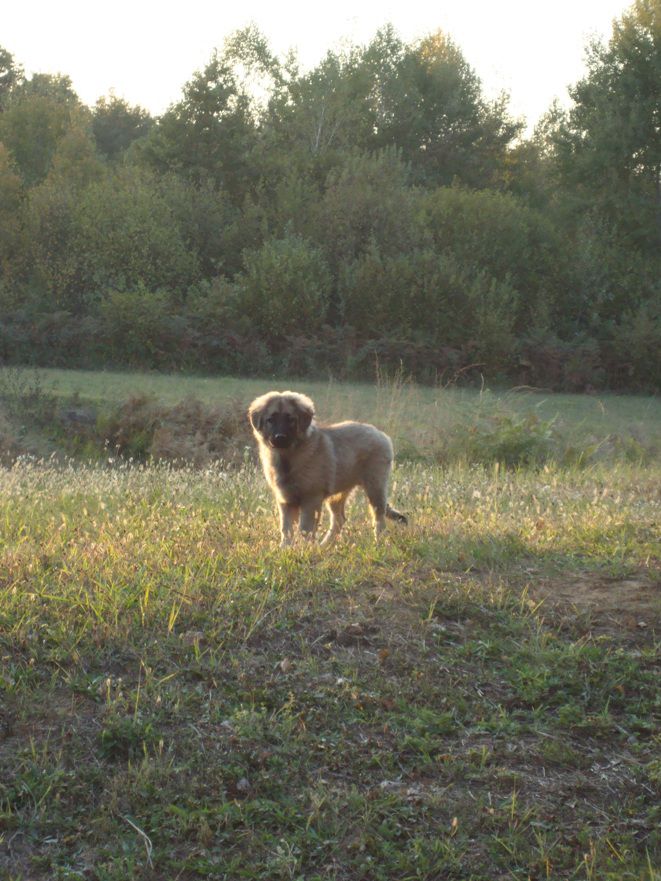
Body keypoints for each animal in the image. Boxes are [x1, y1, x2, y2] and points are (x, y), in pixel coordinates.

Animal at [249, 390, 408, 548]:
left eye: (291, 420)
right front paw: (285, 549)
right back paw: (324, 545)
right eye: (271, 420)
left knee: (379, 517)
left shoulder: (311, 499)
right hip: (337, 495)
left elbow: (305, 529)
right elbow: (286, 529)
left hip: (375, 486)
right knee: (339, 519)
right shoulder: (286, 501)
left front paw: (304, 548)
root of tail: (380, 434)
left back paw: (378, 543)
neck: (288, 456)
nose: (279, 438)